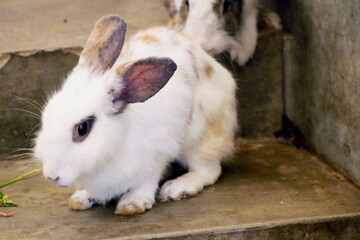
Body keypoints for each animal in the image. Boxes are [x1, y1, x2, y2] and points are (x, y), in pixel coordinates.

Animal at [33, 14, 236, 215]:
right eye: (46, 117)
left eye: (83, 128)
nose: (51, 175)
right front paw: (83, 198)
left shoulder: (156, 154)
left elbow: (147, 181)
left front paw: (133, 203)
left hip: (198, 139)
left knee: (209, 170)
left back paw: (177, 188)